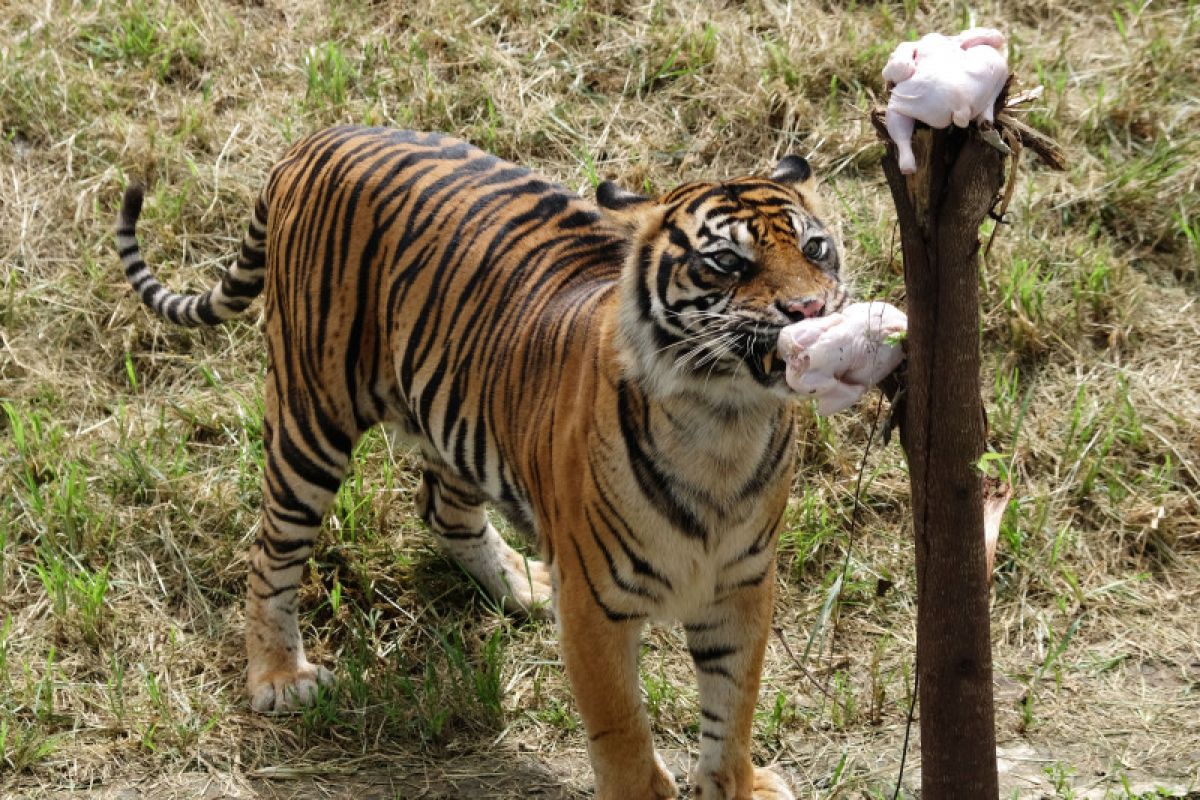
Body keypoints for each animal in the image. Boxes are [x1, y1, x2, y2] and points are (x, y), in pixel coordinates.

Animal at [112, 126, 844, 800]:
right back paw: (279, 677)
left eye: (815, 248)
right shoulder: (596, 605)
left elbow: (733, 707)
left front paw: (737, 787)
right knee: (272, 550)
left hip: (458, 412)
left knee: (441, 507)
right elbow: (622, 726)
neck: (724, 423)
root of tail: (322, 135)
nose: (810, 308)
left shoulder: (742, 582)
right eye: (726, 262)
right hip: (310, 416)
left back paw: (524, 586)